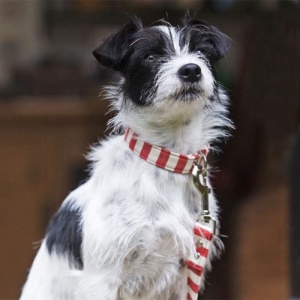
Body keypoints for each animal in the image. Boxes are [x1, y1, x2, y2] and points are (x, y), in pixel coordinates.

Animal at [19, 17, 232, 300]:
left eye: (201, 52)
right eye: (150, 56)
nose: (191, 70)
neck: (166, 161)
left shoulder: (184, 274)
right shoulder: (101, 279)